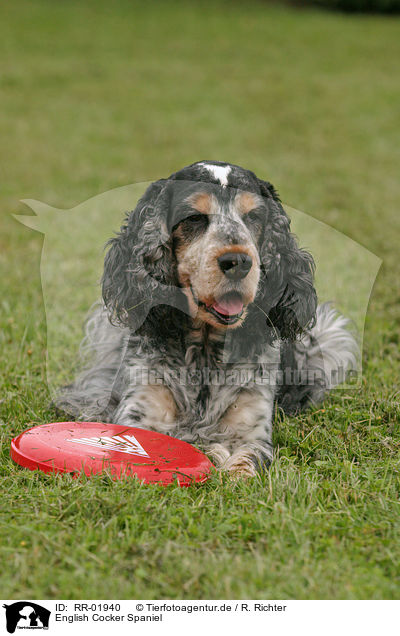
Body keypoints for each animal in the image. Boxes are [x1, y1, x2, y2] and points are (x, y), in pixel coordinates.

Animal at [55, 160, 356, 476]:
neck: (205, 349)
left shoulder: (252, 432)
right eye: (195, 217)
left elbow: (245, 463)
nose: (238, 262)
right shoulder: (138, 413)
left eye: (254, 216)